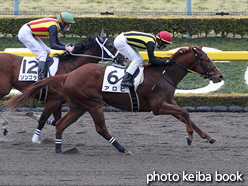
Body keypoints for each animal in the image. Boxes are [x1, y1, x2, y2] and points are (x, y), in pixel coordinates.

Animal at [5, 43, 224, 154]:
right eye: (206, 60)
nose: (219, 76)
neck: (163, 75)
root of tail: (69, 75)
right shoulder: (158, 106)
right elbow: (185, 113)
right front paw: (189, 139)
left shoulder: (168, 103)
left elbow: (187, 116)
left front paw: (209, 137)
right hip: (92, 103)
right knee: (100, 128)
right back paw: (122, 148)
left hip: (78, 106)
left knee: (60, 123)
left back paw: (60, 149)